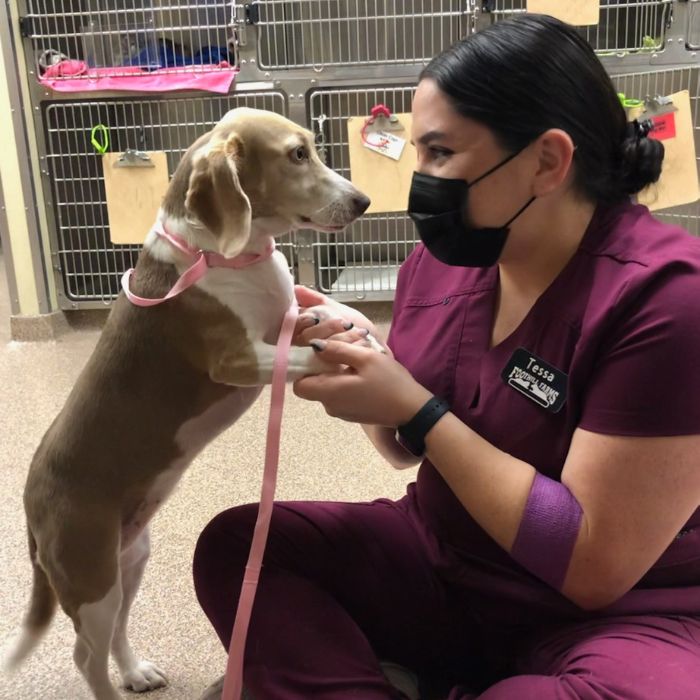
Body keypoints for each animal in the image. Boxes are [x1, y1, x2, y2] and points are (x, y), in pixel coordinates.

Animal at [4, 108, 372, 700]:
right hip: (91, 578)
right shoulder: (239, 359)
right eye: (297, 154)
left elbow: (320, 320)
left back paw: (136, 672)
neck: (223, 253)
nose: (363, 201)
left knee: (117, 633)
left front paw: (351, 329)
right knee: (87, 656)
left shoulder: (283, 324)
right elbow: (308, 356)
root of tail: (30, 501)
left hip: (129, 561)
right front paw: (341, 358)